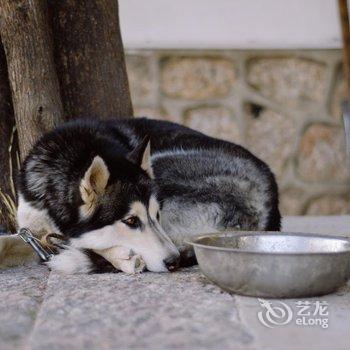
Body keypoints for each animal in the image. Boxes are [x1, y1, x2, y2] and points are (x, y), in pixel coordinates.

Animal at [0, 119, 280, 274]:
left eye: (157, 213)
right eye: (131, 221)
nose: (174, 262)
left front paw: (122, 256)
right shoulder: (31, 230)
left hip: (165, 168)